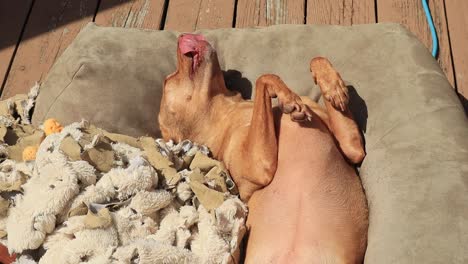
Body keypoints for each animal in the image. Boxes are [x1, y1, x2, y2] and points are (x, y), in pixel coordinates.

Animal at [159, 34, 368, 262]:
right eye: (168, 79)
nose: (182, 36)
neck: (231, 111)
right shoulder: (259, 167)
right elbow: (264, 77)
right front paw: (288, 97)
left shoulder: (352, 149)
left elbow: (315, 58)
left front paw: (333, 86)